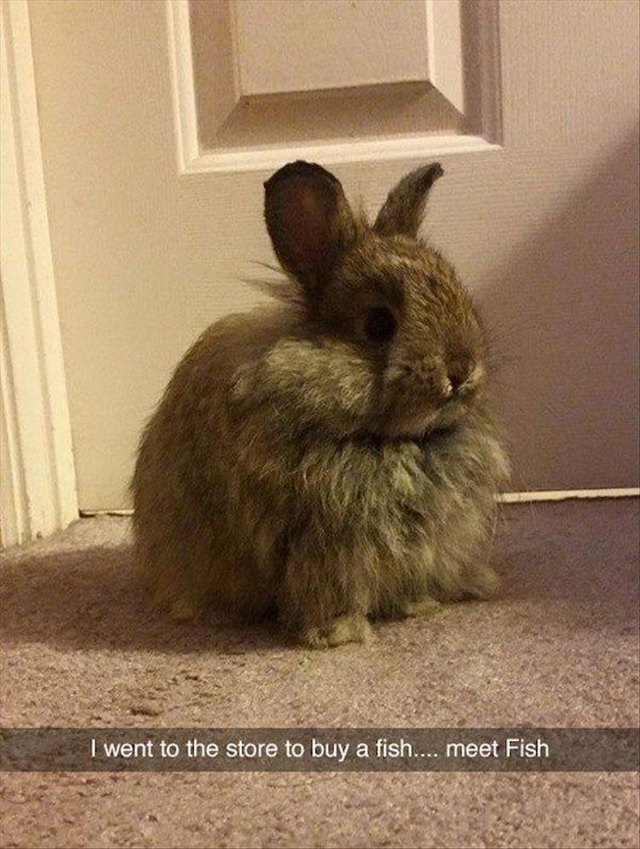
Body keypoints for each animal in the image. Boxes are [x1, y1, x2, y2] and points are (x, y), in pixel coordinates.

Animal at [131, 160, 510, 648]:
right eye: (379, 323)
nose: (462, 372)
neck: (392, 440)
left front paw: (418, 605)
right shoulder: (321, 556)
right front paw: (338, 634)